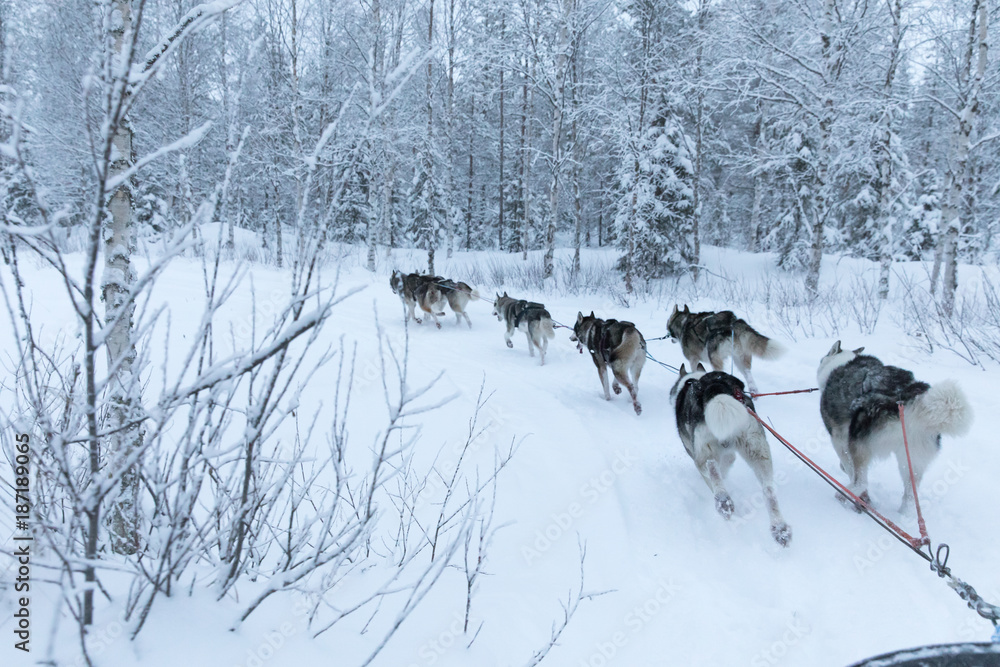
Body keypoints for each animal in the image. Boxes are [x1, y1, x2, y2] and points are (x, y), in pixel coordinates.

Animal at [668, 366, 792, 548]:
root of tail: (715, 386)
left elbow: (716, 475)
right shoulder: (730, 454)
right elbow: (728, 462)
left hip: (704, 453)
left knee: (712, 469)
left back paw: (723, 501)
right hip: (758, 452)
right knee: (768, 490)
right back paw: (780, 529)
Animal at [816, 342, 972, 516]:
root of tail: (910, 402)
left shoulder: (839, 440)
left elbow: (847, 468)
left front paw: (862, 499)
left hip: (859, 440)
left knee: (861, 483)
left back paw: (842, 495)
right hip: (911, 460)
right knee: (910, 498)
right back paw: (902, 515)